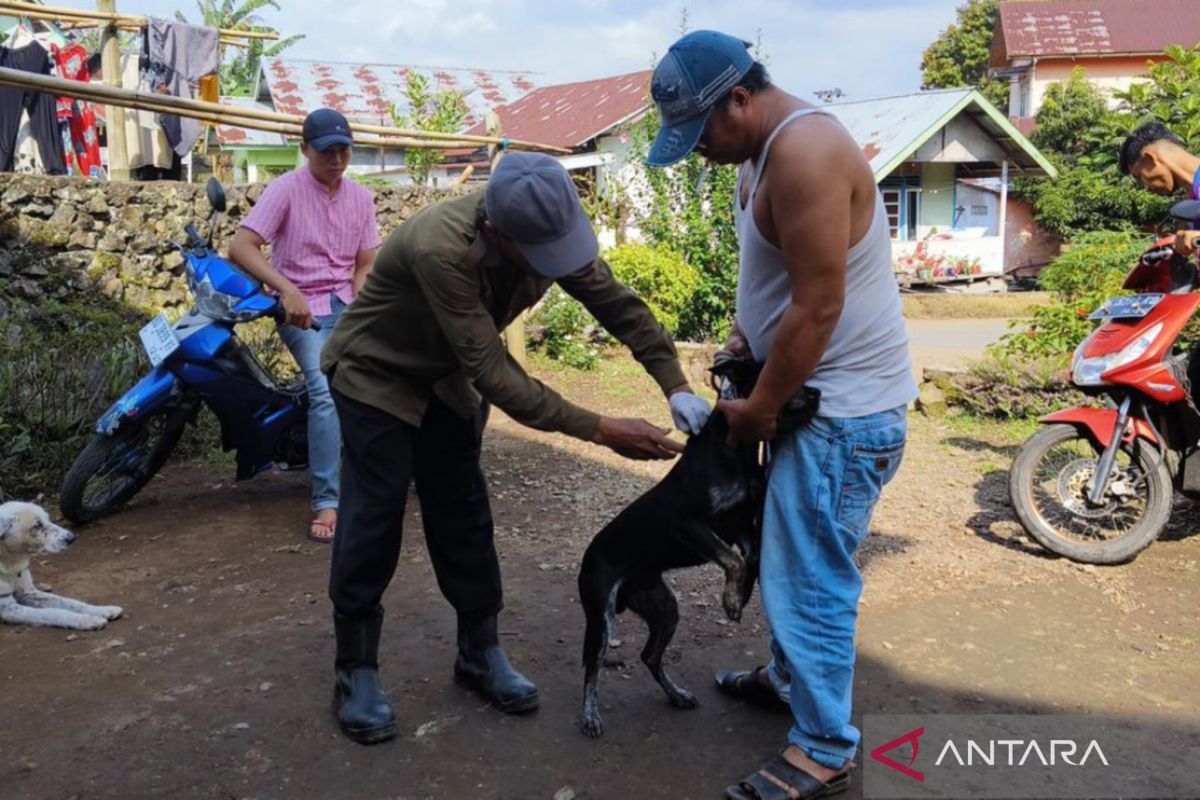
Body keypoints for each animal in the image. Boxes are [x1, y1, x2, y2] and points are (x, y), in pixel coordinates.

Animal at [0, 501, 123, 633]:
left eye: (48, 519)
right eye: (37, 525)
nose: (72, 538)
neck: (10, 565)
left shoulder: (28, 593)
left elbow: (71, 602)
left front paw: (103, 610)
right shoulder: (7, 607)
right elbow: (52, 612)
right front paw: (87, 620)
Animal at [576, 357, 820, 738]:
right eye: (776, 374)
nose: (818, 394)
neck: (735, 451)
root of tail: (588, 556)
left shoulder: (741, 525)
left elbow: (749, 559)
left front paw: (739, 596)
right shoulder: (690, 525)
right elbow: (733, 560)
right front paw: (732, 601)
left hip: (664, 609)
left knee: (649, 656)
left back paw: (676, 694)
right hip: (601, 617)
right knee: (591, 667)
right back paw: (590, 717)